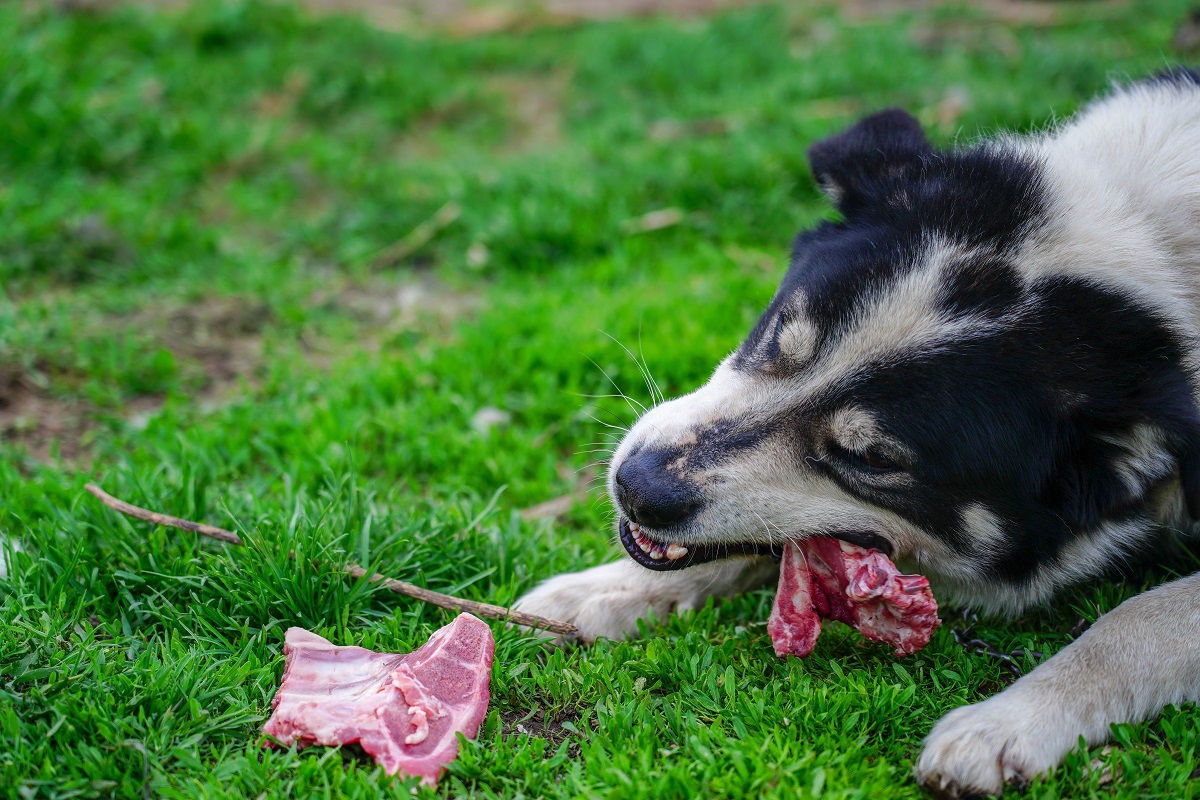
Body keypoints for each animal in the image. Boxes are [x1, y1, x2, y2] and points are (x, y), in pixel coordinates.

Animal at [516, 71, 1200, 796]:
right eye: (777, 336)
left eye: (870, 458)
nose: (634, 488)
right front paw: (606, 588)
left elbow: (1144, 616)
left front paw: (1011, 720)